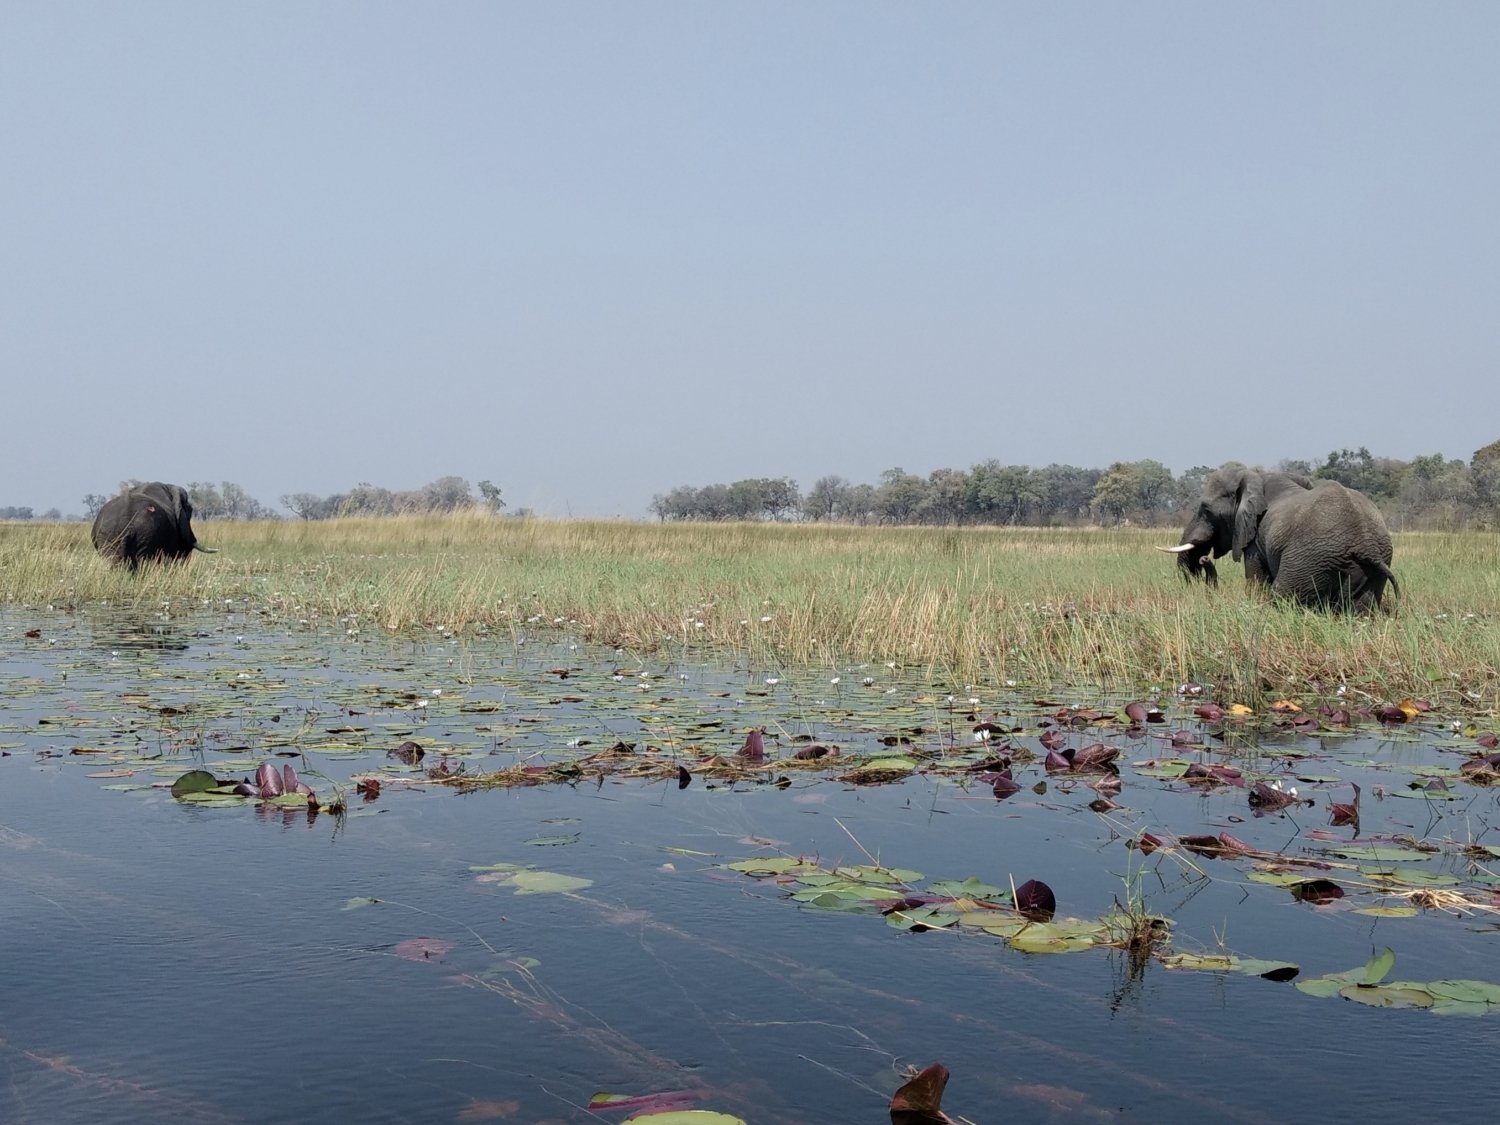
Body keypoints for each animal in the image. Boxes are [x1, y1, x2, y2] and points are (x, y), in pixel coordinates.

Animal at [1158, 462, 1392, 612]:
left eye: (1205, 509)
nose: (1203, 559)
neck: (1254, 476)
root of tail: (1366, 545)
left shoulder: (1255, 538)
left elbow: (1256, 581)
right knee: (1362, 608)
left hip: (1309, 560)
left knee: (1282, 595)